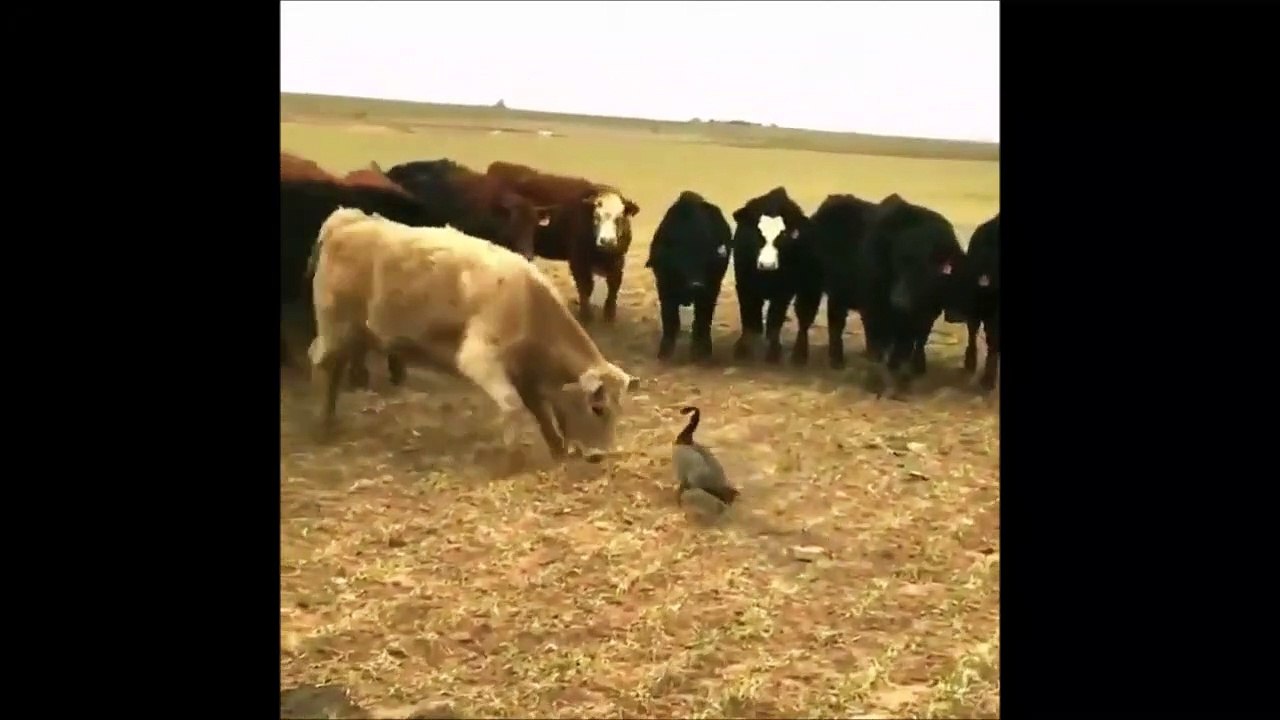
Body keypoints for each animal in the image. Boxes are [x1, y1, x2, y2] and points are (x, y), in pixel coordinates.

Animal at [308, 207, 642, 462]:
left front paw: (557, 448)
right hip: (336, 327)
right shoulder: (480, 358)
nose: (599, 456)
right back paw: (322, 424)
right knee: (322, 364)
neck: (529, 303)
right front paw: (513, 459)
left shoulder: (526, 375)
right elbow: (512, 405)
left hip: (354, 334)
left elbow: (541, 411)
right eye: (597, 408)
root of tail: (347, 218)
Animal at [486, 161, 640, 324]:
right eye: (596, 217)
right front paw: (586, 315)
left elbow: (614, 286)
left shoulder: (618, 261)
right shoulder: (578, 261)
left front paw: (609, 315)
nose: (607, 241)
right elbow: (585, 287)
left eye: (620, 217)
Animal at [645, 191, 733, 362]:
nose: (696, 285)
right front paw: (665, 351)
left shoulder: (710, 291)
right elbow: (670, 319)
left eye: (706, 261)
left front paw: (701, 350)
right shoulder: (664, 289)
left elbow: (702, 320)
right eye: (680, 261)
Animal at [729, 186, 820, 364]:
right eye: (757, 232)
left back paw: (799, 355)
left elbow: (774, 320)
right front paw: (742, 349)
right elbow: (749, 317)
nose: (767, 265)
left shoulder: (784, 291)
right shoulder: (744, 285)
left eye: (783, 235)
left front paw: (773, 353)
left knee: (804, 318)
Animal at [855, 193, 968, 396]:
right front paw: (875, 381)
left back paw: (916, 367)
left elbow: (904, 348)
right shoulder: (872, 309)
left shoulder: (918, 318)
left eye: (928, 266)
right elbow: (877, 346)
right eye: (899, 258)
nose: (900, 301)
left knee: (918, 342)